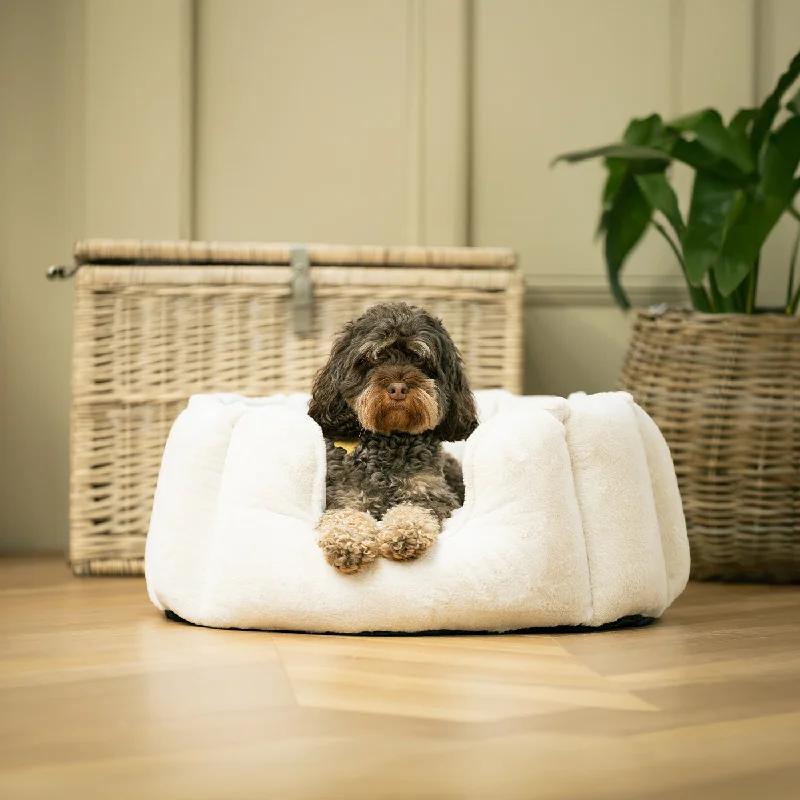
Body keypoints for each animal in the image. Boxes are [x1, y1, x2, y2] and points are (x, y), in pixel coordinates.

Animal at [310, 304, 478, 572]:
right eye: (373, 358)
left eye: (419, 359)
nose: (398, 388)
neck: (390, 440)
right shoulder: (343, 496)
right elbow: (345, 516)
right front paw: (347, 541)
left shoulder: (435, 496)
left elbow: (414, 509)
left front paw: (406, 533)